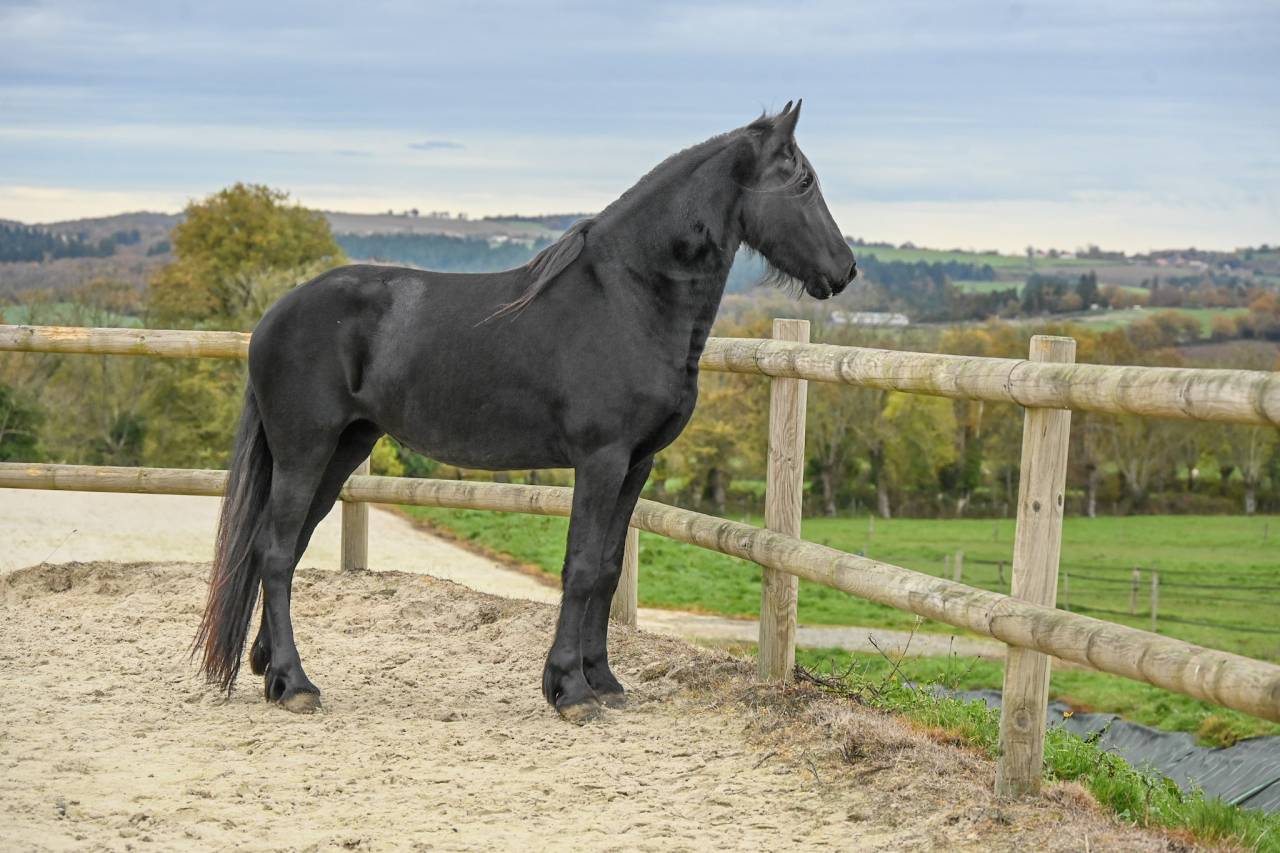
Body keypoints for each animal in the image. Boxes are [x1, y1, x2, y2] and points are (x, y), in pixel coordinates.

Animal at [195, 100, 857, 721]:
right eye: (803, 181)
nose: (845, 269)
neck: (627, 299)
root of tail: (273, 317)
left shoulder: (636, 464)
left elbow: (609, 567)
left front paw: (604, 680)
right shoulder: (600, 461)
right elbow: (581, 567)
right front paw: (569, 690)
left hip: (343, 449)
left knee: (284, 546)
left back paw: (269, 670)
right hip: (304, 451)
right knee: (276, 552)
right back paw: (296, 684)